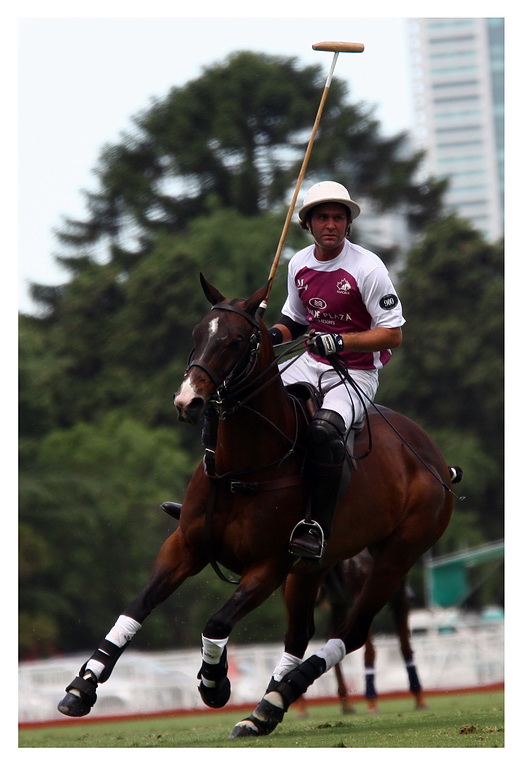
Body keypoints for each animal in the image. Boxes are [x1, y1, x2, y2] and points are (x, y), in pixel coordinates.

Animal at [57, 275, 456, 739]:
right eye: (197, 334)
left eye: (235, 341)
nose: (188, 402)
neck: (243, 464)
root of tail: (435, 457)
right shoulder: (185, 546)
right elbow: (138, 605)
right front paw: (83, 686)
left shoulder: (268, 564)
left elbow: (216, 622)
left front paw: (214, 684)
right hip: (313, 568)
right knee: (300, 633)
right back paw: (267, 707)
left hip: (397, 554)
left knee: (354, 631)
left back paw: (280, 697)